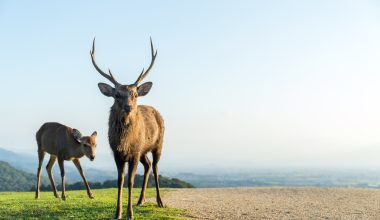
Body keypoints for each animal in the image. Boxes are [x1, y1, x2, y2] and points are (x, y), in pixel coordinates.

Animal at [90, 38, 165, 220]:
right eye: (117, 95)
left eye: (135, 95)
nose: (129, 107)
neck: (124, 142)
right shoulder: (117, 153)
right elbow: (120, 181)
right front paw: (117, 213)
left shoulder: (135, 153)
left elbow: (130, 181)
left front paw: (130, 214)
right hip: (144, 150)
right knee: (148, 165)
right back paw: (140, 200)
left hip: (158, 144)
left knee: (155, 167)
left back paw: (159, 201)